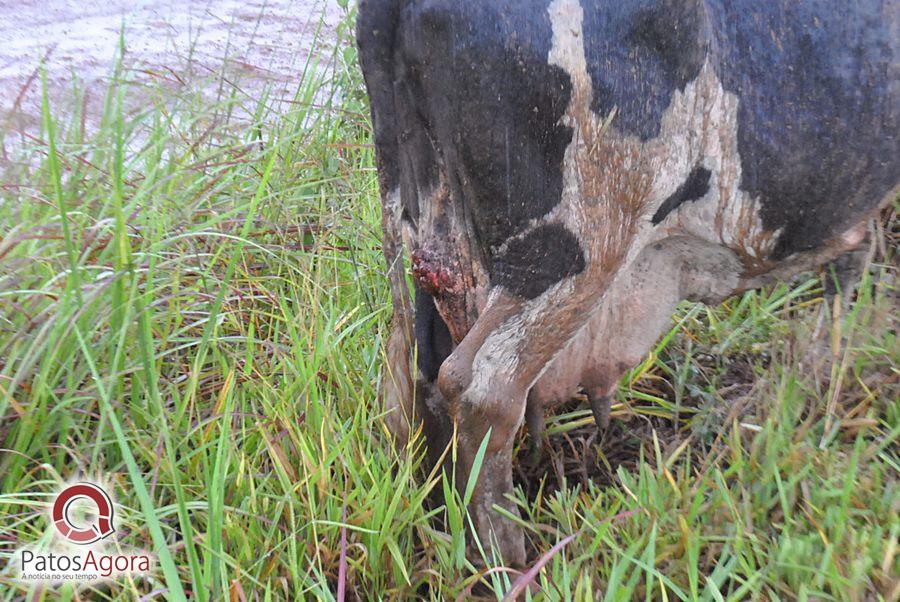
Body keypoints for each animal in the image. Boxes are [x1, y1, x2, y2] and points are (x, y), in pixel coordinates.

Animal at [356, 0, 896, 564]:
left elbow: (843, 285)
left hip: (423, 236)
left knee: (408, 376)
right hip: (575, 246)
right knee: (481, 389)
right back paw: (509, 558)